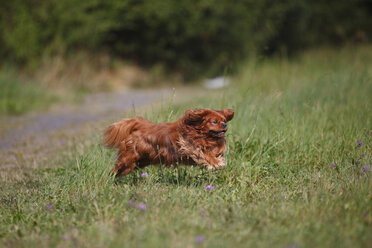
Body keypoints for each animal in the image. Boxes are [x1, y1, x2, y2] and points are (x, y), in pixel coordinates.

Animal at [103, 108, 234, 176]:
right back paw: (109, 177)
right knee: (116, 167)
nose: (225, 125)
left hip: (138, 162)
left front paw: (217, 160)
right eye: (215, 121)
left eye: (223, 120)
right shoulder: (189, 146)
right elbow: (205, 154)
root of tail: (140, 126)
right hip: (128, 159)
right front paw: (217, 163)